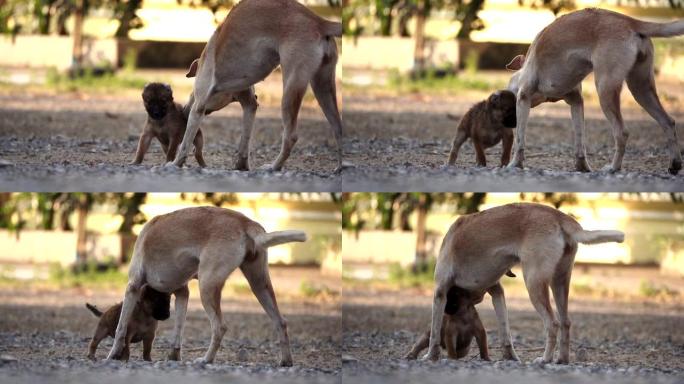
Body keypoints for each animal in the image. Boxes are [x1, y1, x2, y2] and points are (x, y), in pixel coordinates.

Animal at [105, 207, 306, 366]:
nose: (164, 316)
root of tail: (245, 223)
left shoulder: (132, 287)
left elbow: (120, 327)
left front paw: (112, 355)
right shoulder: (182, 294)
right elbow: (178, 330)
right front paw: (174, 357)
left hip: (207, 287)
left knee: (219, 327)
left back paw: (206, 360)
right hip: (259, 284)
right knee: (280, 321)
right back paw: (286, 361)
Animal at [171, 0, 342, 172]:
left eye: (192, 93)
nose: (183, 112)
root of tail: (319, 22)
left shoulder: (199, 107)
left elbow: (185, 142)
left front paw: (175, 163)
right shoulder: (250, 104)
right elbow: (245, 140)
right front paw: (241, 165)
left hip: (291, 88)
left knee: (291, 136)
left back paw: (273, 167)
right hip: (323, 87)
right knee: (338, 129)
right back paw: (340, 168)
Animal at [428, 202, 624, 364]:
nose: (449, 310)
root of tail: (559, 216)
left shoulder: (439, 293)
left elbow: (434, 334)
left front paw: (430, 357)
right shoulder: (497, 292)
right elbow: (506, 333)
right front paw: (510, 357)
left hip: (534, 284)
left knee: (553, 323)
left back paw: (545, 359)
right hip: (559, 282)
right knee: (565, 322)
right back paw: (562, 359)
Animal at [504, 9, 680, 174]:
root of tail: (630, 22)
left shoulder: (523, 98)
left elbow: (520, 139)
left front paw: (515, 164)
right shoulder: (577, 102)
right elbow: (580, 140)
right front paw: (582, 167)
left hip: (605, 90)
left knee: (622, 132)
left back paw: (613, 168)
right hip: (641, 89)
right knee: (668, 122)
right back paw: (675, 164)